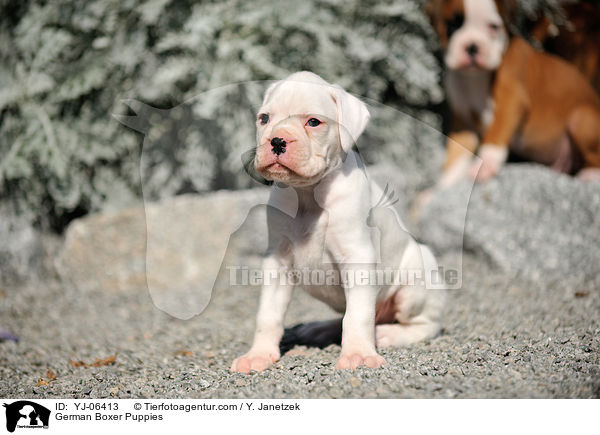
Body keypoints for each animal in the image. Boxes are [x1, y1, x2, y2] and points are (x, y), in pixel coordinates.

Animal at [230, 72, 446, 374]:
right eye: (264, 118)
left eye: (313, 122)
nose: (277, 141)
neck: (308, 194)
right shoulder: (278, 262)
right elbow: (268, 315)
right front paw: (258, 354)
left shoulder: (357, 256)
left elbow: (357, 316)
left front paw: (358, 354)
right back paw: (318, 329)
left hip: (415, 281)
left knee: (426, 323)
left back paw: (389, 334)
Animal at [424, 0, 600, 184]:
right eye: (452, 24)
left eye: (493, 27)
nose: (473, 47)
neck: (475, 77)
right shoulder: (464, 125)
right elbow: (455, 160)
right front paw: (439, 187)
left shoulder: (510, 101)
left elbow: (494, 138)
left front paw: (485, 166)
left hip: (581, 119)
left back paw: (590, 173)